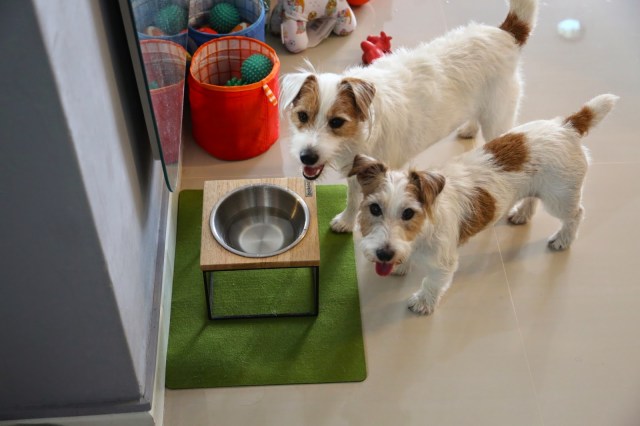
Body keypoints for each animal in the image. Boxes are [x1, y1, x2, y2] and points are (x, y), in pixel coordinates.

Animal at [279, 0, 538, 233]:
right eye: (302, 116)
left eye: (337, 122)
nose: (306, 157)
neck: (358, 133)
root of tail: (506, 34)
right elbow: (352, 196)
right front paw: (347, 220)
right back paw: (469, 128)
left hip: (499, 121)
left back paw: (524, 212)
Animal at [349, 94, 619, 315]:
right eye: (374, 209)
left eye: (408, 213)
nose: (384, 254)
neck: (422, 230)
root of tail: (566, 126)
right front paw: (401, 264)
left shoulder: (443, 264)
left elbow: (431, 283)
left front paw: (423, 302)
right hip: (539, 186)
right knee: (532, 198)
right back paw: (522, 214)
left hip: (559, 198)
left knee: (576, 214)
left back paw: (563, 239)